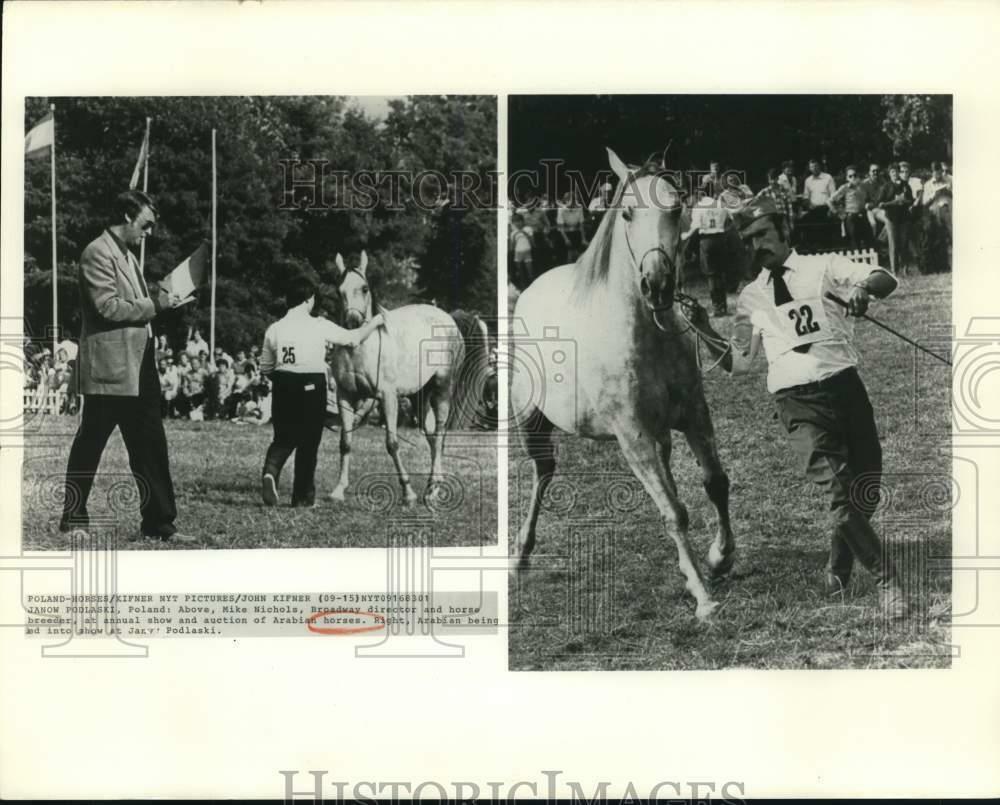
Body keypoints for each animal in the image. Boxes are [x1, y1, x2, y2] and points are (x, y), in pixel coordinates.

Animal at [328, 248, 488, 506]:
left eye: (364, 288)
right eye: (338, 289)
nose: (352, 323)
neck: (359, 348)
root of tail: (449, 318)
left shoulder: (388, 398)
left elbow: (392, 444)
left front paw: (407, 492)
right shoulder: (345, 396)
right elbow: (345, 442)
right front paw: (338, 490)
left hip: (442, 390)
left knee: (440, 435)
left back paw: (432, 489)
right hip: (418, 397)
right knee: (432, 437)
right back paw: (433, 488)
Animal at [516, 148, 736, 620]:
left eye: (676, 207)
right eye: (629, 212)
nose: (657, 285)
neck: (644, 334)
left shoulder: (694, 414)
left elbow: (714, 483)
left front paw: (718, 559)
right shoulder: (632, 435)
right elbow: (673, 513)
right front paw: (704, 597)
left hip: (660, 433)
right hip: (531, 422)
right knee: (543, 472)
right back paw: (520, 555)